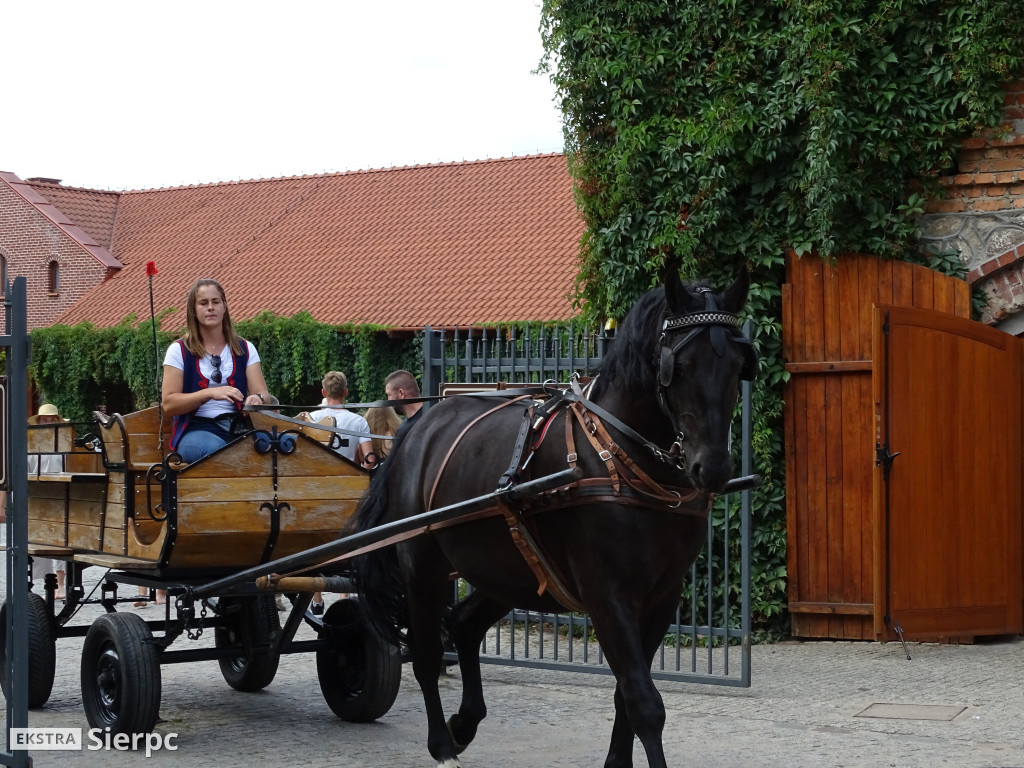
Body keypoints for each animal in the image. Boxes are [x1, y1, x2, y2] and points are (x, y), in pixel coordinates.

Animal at [356, 268, 757, 765]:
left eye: (738, 366)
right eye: (678, 367)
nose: (713, 468)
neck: (620, 460)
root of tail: (419, 425)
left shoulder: (661, 597)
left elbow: (627, 694)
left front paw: (616, 761)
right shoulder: (608, 596)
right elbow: (645, 703)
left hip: (509, 571)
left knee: (464, 626)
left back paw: (464, 722)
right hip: (422, 566)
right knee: (428, 653)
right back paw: (442, 745)